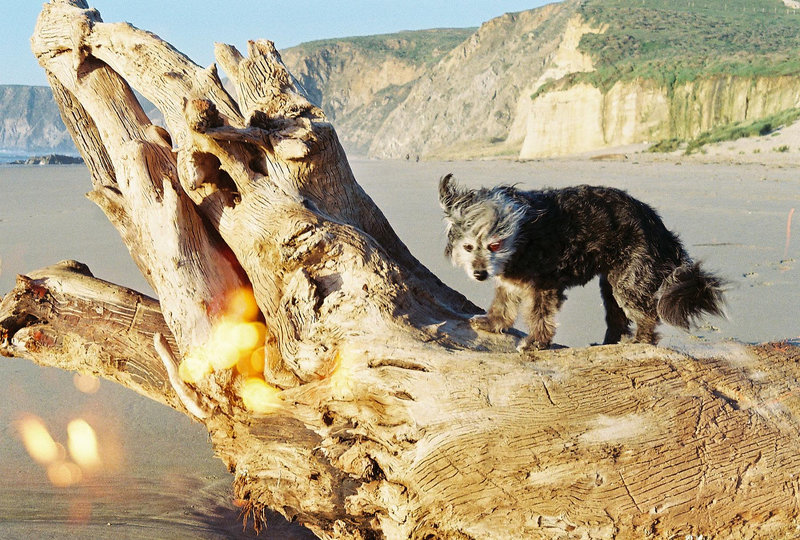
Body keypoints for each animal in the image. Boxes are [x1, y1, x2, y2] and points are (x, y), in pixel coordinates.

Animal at [438, 174, 724, 350]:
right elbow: (503, 306)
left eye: (494, 245)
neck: (522, 233)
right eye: (468, 247)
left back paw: (640, 341)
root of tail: (657, 224)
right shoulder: (509, 282)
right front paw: (492, 323)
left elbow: (539, 316)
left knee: (647, 314)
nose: (479, 273)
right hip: (611, 284)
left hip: (628, 280)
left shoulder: (544, 286)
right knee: (617, 318)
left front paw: (536, 343)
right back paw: (609, 343)